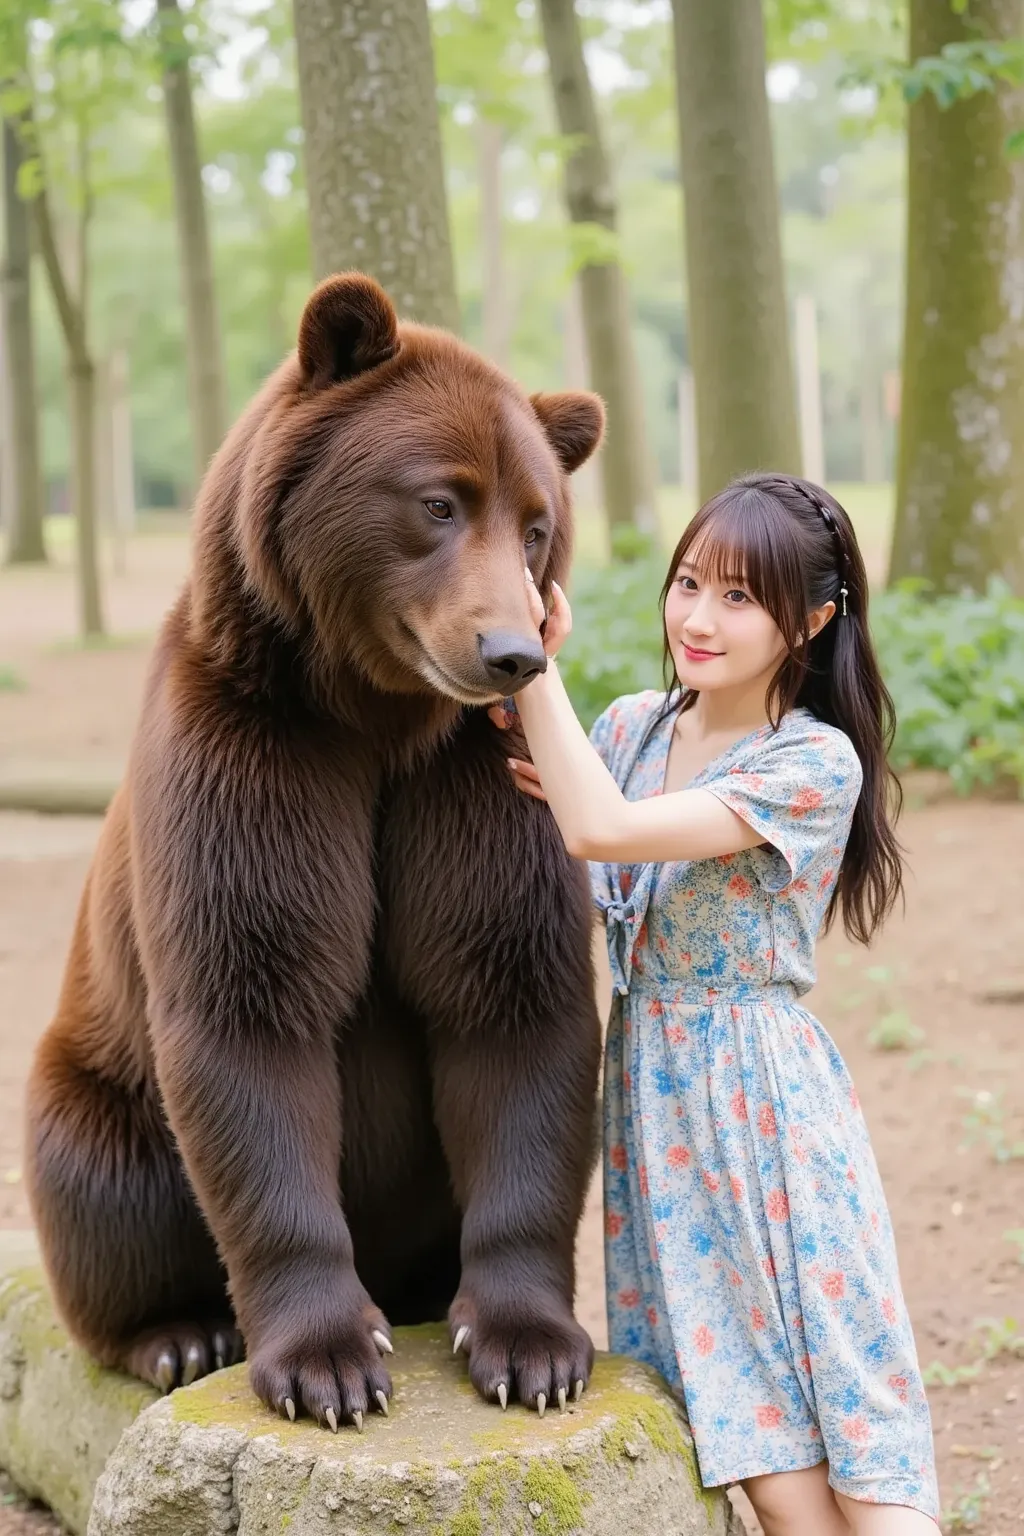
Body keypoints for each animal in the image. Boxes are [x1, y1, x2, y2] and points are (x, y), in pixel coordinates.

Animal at [23, 270, 607, 1431]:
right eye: (438, 501)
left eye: (534, 528)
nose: (511, 653)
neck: (377, 718)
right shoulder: (254, 757)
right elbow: (251, 1007)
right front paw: (328, 1364)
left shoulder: (477, 782)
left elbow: (512, 1001)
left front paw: (531, 1349)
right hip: (96, 1079)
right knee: (99, 1181)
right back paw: (178, 1333)